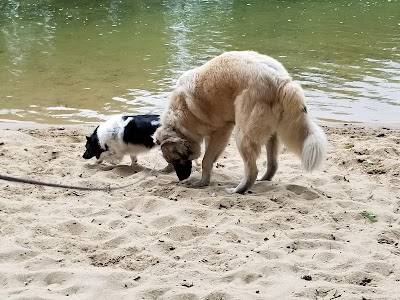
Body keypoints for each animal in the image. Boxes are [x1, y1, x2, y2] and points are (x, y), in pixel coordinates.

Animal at [154, 50, 328, 193]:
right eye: (171, 161)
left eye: (178, 160)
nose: (181, 179)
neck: (181, 114)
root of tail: (282, 81)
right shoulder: (213, 135)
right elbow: (211, 156)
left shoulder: (222, 130)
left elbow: (206, 159)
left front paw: (203, 182)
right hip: (270, 134)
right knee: (272, 164)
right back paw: (264, 179)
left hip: (242, 136)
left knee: (252, 171)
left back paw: (238, 189)